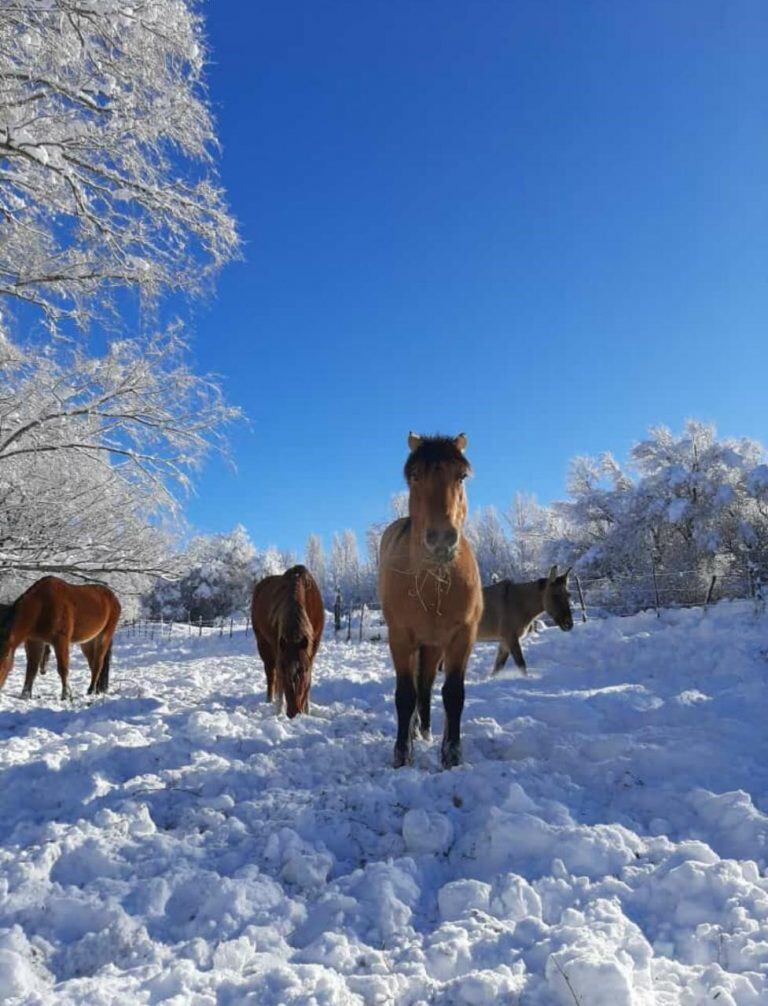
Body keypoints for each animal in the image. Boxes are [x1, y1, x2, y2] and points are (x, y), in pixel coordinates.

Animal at [252, 563, 324, 720]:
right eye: (284, 669)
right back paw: (269, 700)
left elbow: (309, 680)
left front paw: (307, 710)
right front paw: (278, 710)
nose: (294, 712)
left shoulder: (312, 649)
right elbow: (279, 681)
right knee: (270, 674)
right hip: (263, 644)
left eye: (304, 670)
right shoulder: (279, 648)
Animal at [382, 432, 483, 768]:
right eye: (415, 476)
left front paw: (451, 753)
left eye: (461, 476)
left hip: (434, 645)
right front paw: (402, 753)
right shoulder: (400, 637)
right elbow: (404, 694)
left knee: (425, 685)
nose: (441, 540)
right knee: (416, 686)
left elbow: (453, 694)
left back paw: (424, 729)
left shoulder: (461, 637)